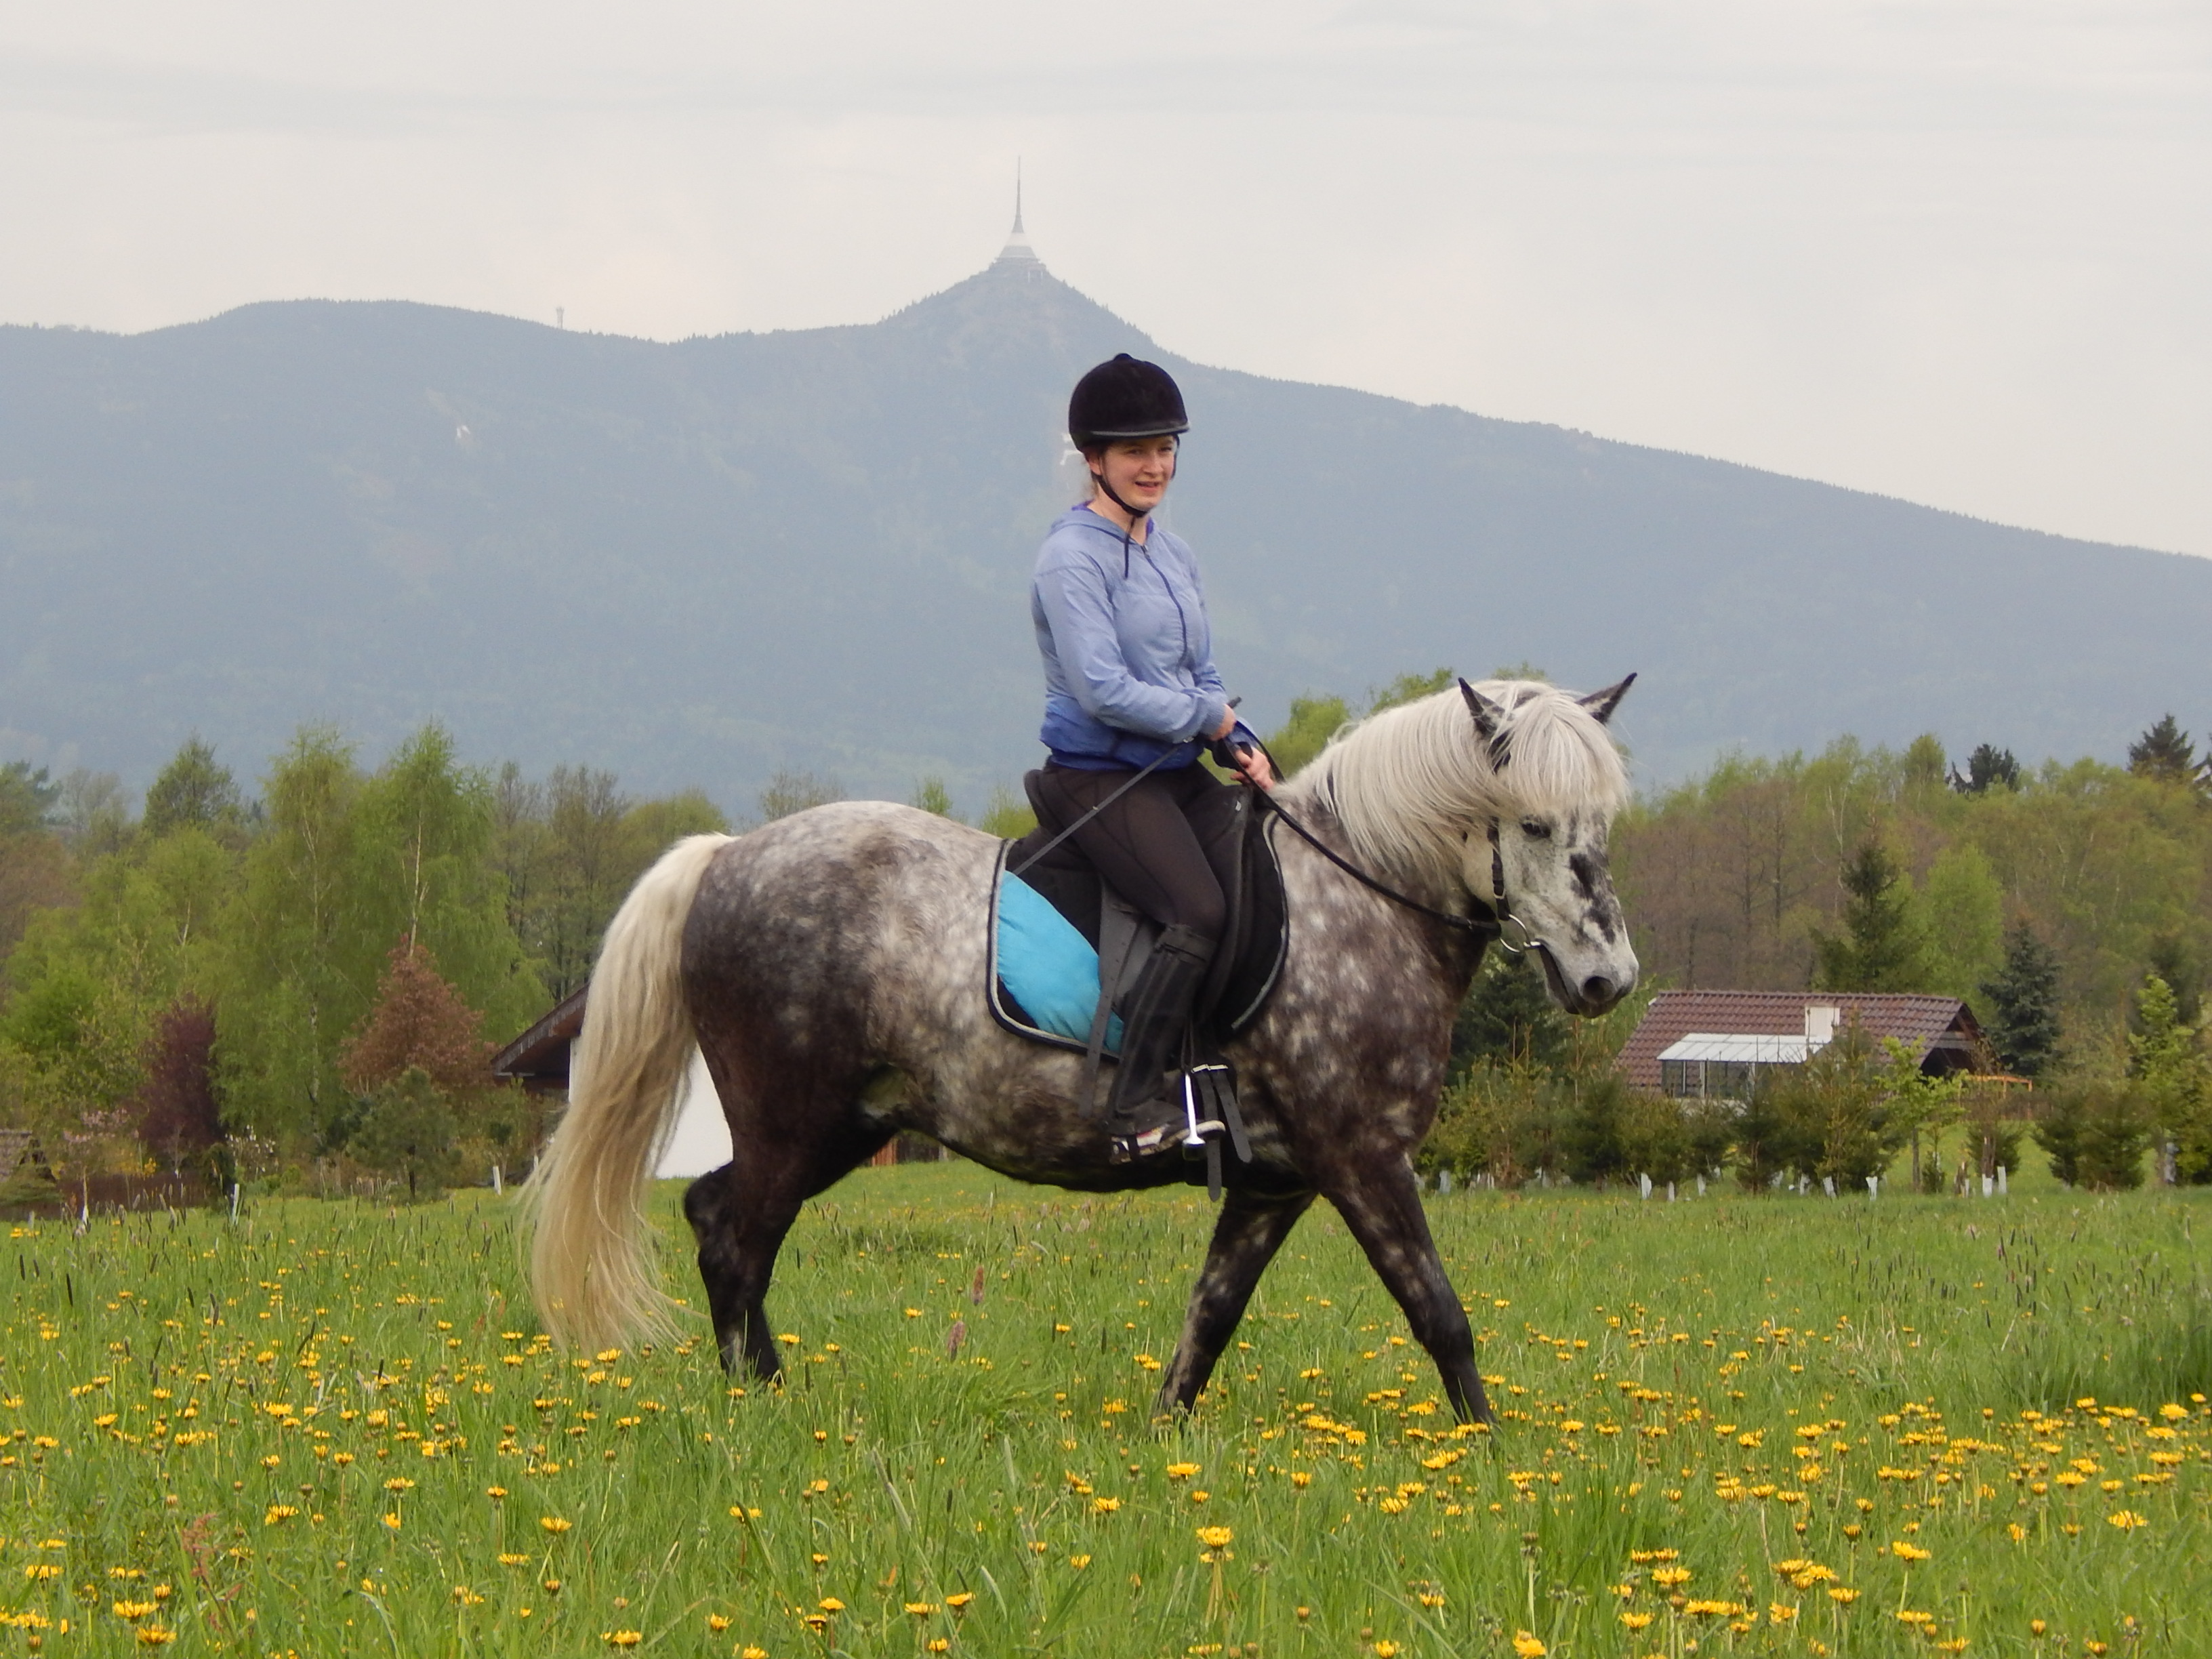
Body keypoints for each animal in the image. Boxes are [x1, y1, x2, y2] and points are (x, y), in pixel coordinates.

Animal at [528, 676, 1638, 1425]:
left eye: (1601, 823)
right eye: (1534, 826)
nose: (1607, 982)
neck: (1359, 897)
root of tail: (725, 857)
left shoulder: (1274, 1182)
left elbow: (1209, 1322)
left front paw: (1163, 1448)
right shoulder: (1363, 1159)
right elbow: (1439, 1311)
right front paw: (1491, 1457)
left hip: (844, 1123)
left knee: (721, 1220)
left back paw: (769, 1395)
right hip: (789, 1117)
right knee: (736, 1242)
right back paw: (762, 1410)